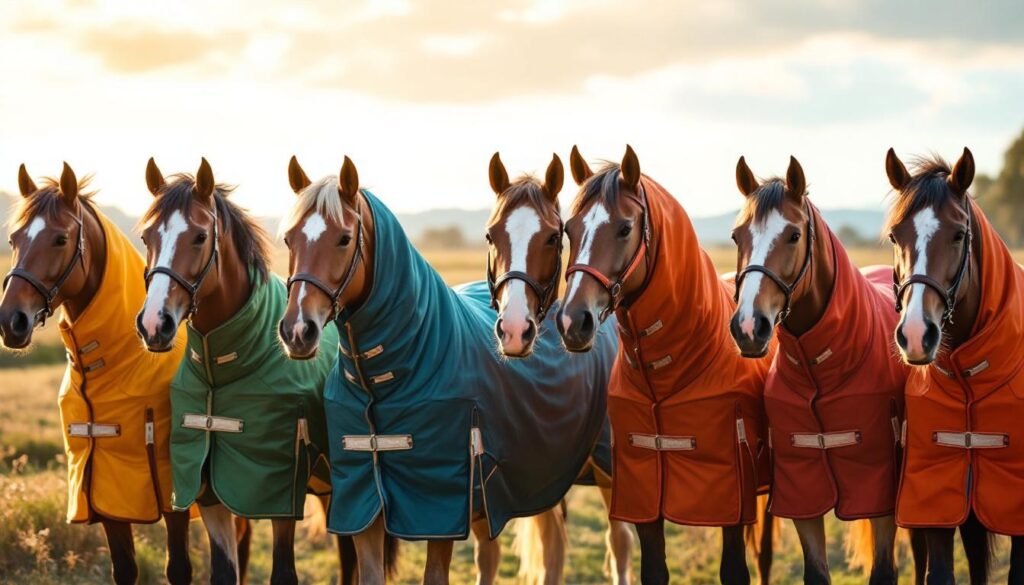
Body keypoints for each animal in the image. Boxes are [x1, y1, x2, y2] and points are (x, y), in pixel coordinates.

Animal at [0, 163, 192, 584]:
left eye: (59, 239)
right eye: (14, 238)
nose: (10, 321)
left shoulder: (177, 499)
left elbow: (179, 569)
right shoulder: (104, 494)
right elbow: (125, 568)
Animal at [133, 158, 380, 585]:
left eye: (200, 237)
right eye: (147, 236)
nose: (153, 324)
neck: (222, 370)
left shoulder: (281, 497)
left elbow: (283, 572)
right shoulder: (210, 493)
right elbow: (223, 570)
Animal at [556, 145, 774, 585]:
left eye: (625, 228)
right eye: (569, 230)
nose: (572, 322)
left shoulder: (730, 502)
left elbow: (734, 569)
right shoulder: (644, 498)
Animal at [728, 155, 912, 584]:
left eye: (794, 235)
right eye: (736, 237)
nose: (748, 327)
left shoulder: (878, 497)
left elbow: (884, 570)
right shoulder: (804, 493)